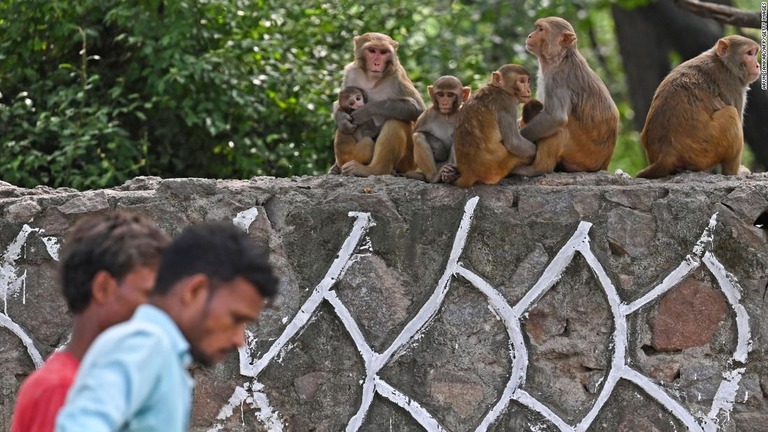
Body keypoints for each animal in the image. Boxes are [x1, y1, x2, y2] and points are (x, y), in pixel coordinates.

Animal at [332, 31, 426, 177]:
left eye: (383, 52)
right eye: (372, 50)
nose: (377, 63)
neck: (372, 78)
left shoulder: (398, 76)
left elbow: (418, 110)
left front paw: (366, 111)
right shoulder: (351, 72)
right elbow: (340, 103)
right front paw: (342, 120)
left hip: (409, 161)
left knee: (396, 122)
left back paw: (374, 170)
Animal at [512, 16, 620, 176]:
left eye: (541, 29)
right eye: (537, 28)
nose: (530, 35)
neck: (560, 58)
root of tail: (603, 165)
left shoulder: (558, 79)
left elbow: (556, 118)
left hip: (583, 155)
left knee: (560, 128)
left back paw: (536, 168)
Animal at [636, 34, 760, 180]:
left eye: (755, 53)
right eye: (749, 53)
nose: (757, 65)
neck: (723, 63)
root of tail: (666, 154)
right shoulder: (732, 84)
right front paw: (735, 172)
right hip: (705, 149)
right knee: (731, 113)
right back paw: (733, 172)